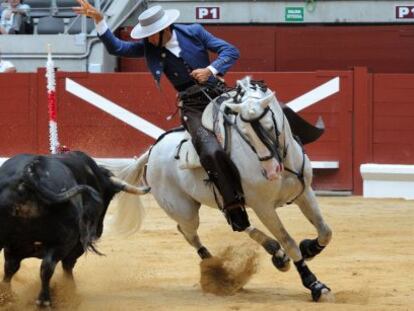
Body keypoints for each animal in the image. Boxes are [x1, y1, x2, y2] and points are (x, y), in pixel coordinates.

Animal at [0, 151, 148, 308]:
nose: (98, 230)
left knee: (18, 267)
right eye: (110, 196)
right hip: (63, 242)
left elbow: (10, 267)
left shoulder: (13, 248)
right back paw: (44, 301)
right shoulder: (76, 246)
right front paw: (70, 291)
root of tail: (29, 176)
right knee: (48, 267)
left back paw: (8, 298)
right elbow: (67, 266)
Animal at [110, 77, 334, 304]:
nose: (271, 172)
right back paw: (216, 270)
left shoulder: (304, 193)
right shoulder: (263, 207)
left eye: (270, 127)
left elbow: (325, 231)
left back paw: (274, 253)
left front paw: (309, 248)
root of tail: (152, 151)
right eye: (244, 134)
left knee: (236, 223)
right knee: (189, 232)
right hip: (184, 210)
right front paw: (314, 284)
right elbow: (288, 241)